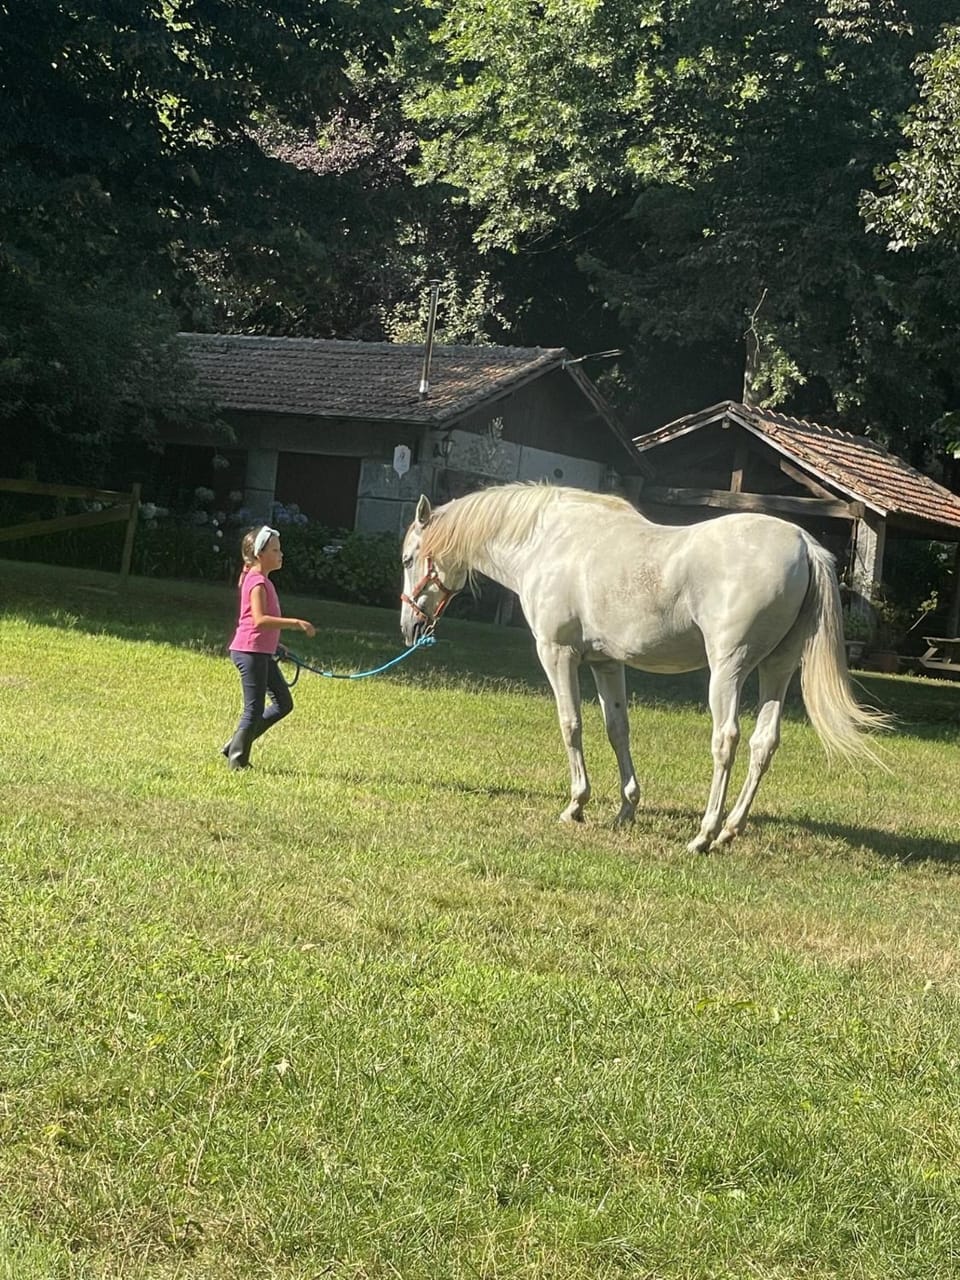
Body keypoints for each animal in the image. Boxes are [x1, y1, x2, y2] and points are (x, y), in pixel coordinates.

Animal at [399, 483, 889, 852]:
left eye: (408, 559)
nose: (409, 626)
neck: (548, 542)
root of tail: (804, 545)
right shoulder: (605, 663)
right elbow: (617, 729)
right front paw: (626, 808)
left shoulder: (557, 654)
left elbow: (571, 725)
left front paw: (576, 805)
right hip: (778, 669)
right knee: (763, 743)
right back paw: (730, 830)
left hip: (728, 669)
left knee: (727, 739)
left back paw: (704, 835)